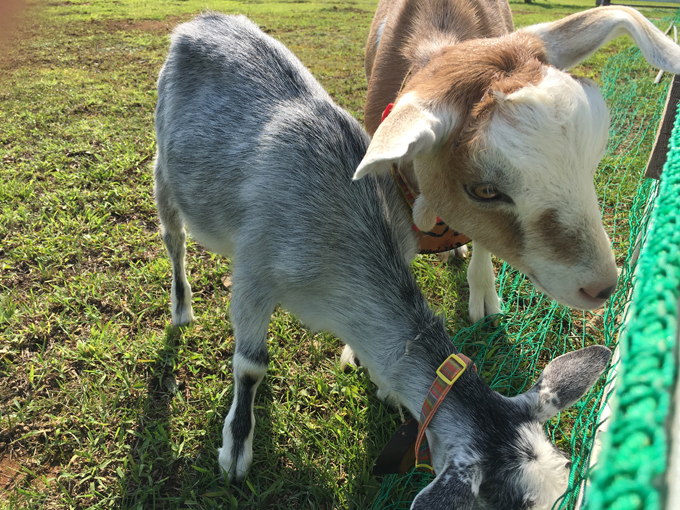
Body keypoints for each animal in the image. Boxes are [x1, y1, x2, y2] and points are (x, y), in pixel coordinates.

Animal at [155, 13, 612, 508]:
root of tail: (207, 20)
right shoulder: (255, 273)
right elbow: (250, 364)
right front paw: (236, 448)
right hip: (163, 164)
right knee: (174, 237)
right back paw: (181, 308)